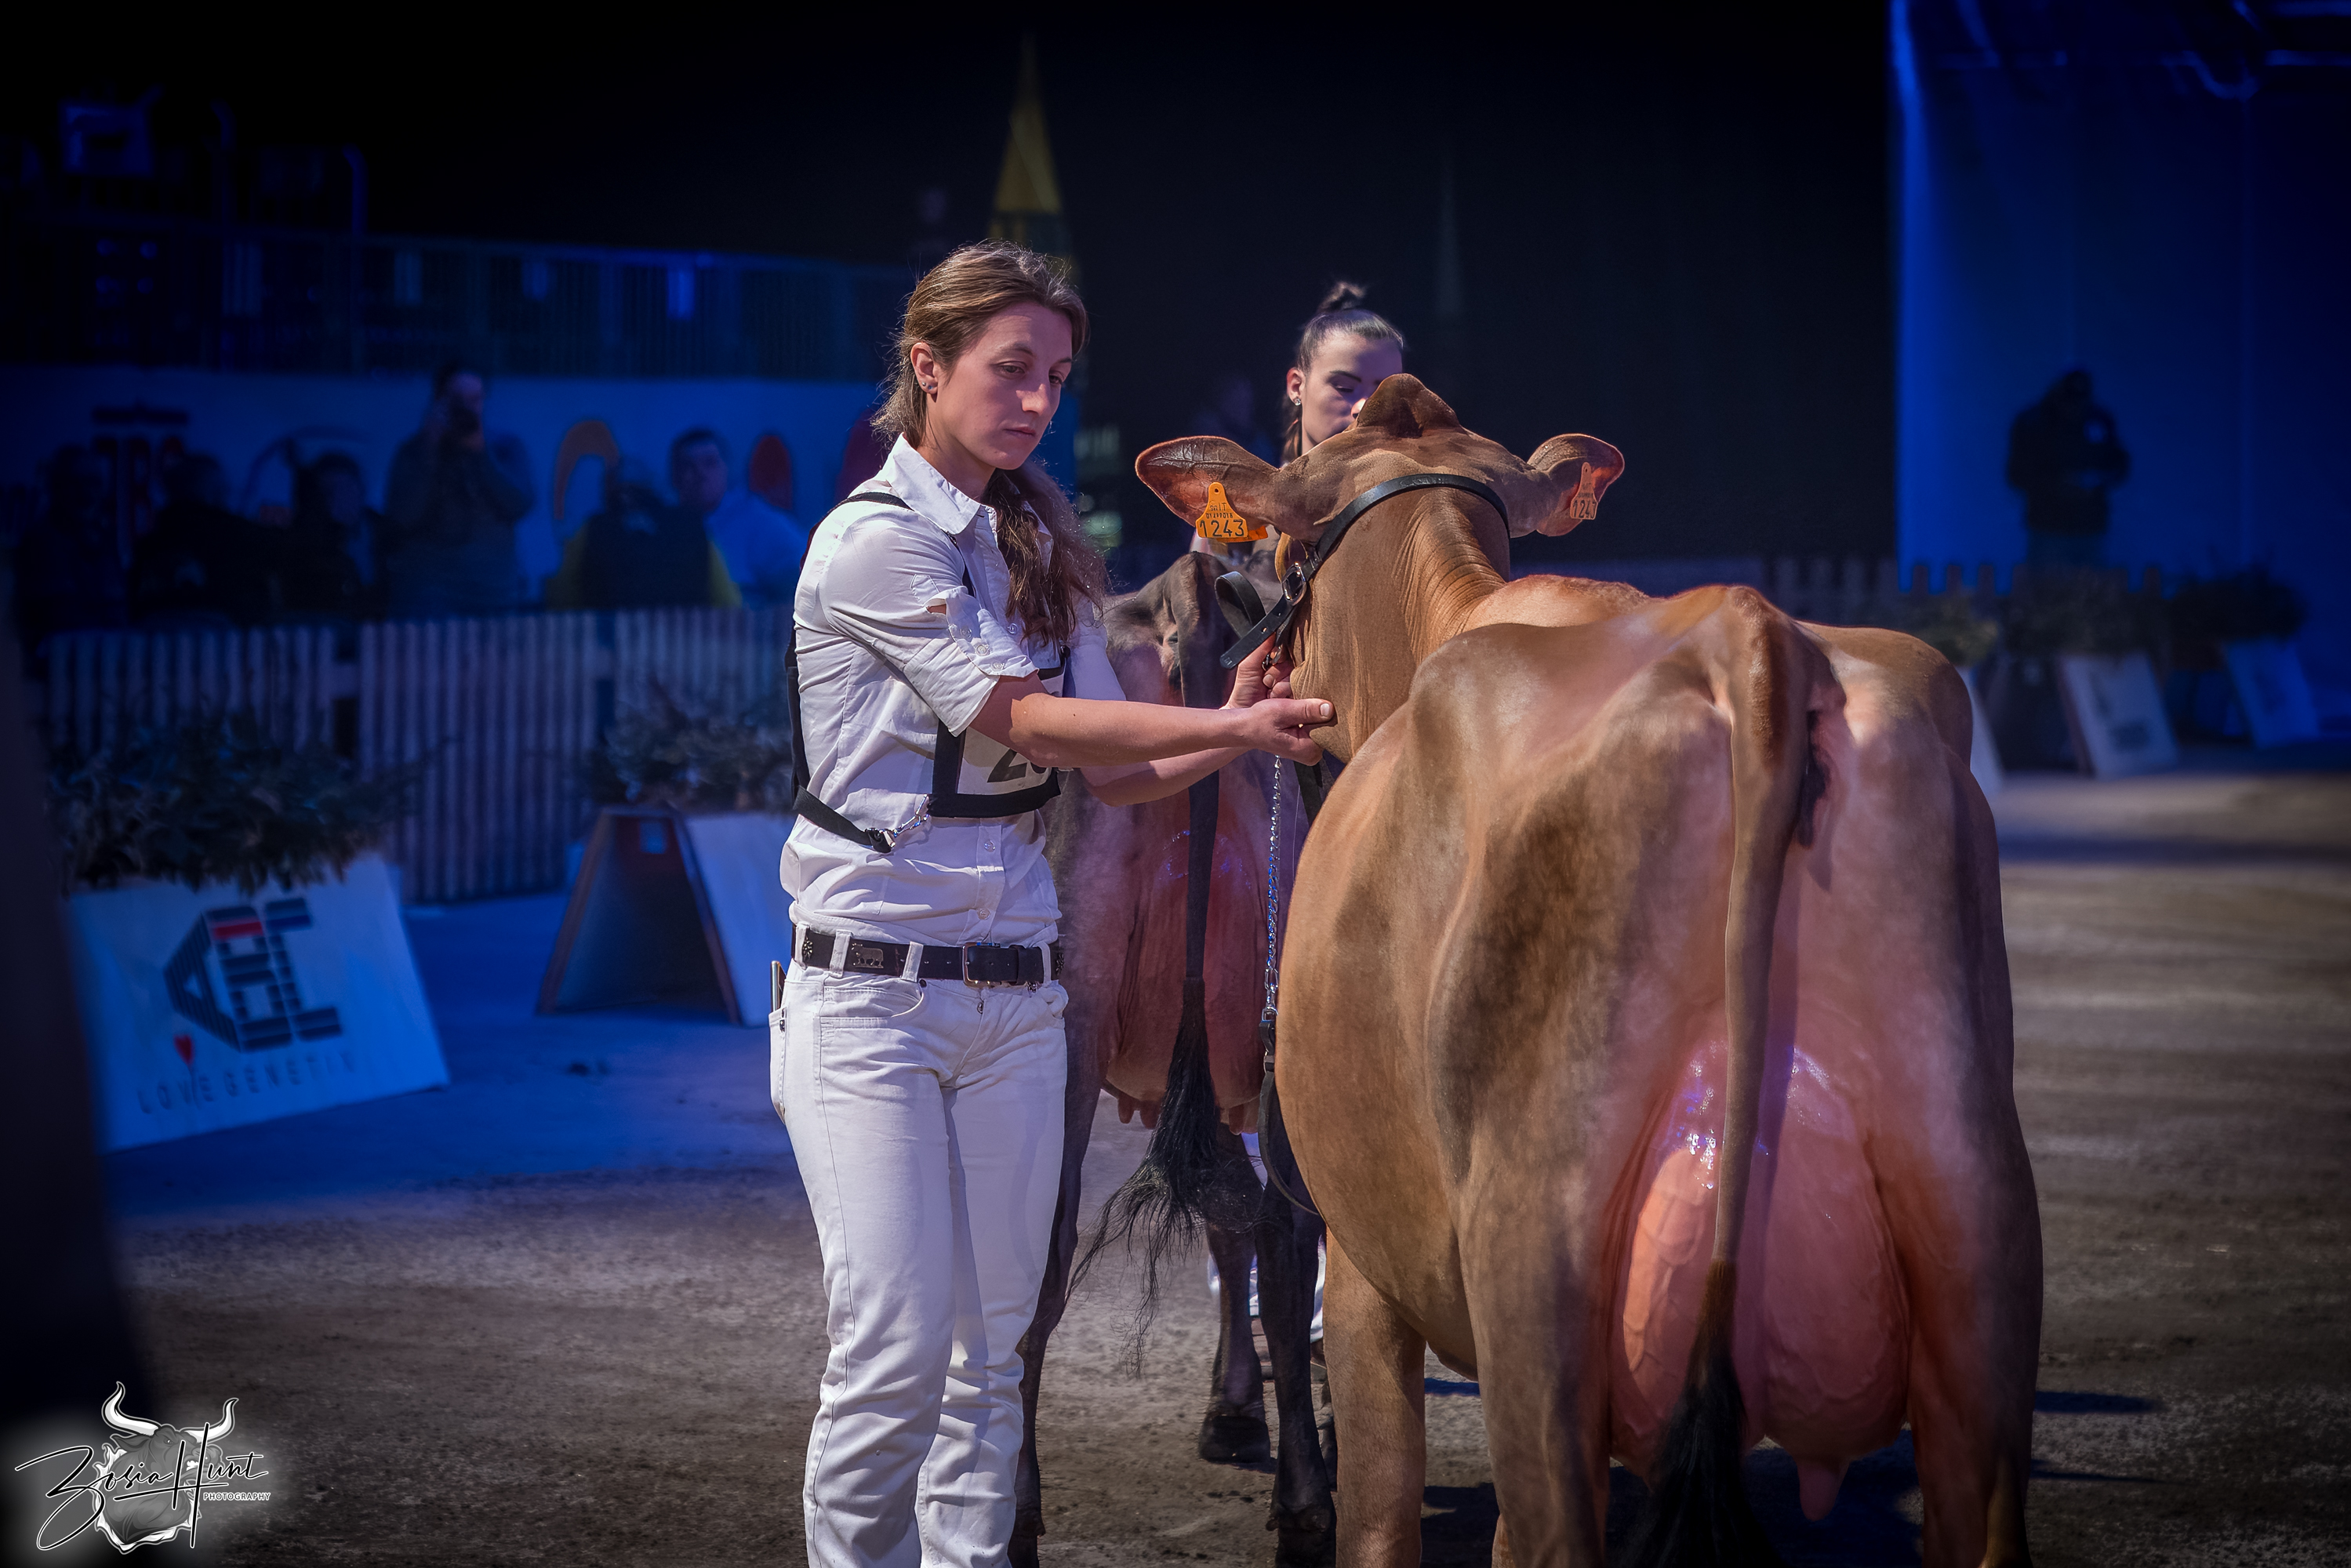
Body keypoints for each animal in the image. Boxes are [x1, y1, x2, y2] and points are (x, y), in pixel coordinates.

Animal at [1010, 552, 1334, 1567]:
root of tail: (1182, 586)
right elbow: (1243, 1226)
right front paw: (1235, 1410)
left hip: (1069, 1016)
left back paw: (1014, 1506)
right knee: (1287, 1234)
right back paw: (1305, 1498)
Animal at [1130, 376, 2042, 1568]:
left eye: (1278, 552)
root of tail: (1751, 642)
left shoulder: (1368, 1260)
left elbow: (1380, 1516)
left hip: (1537, 1254)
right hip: (1978, 1228)